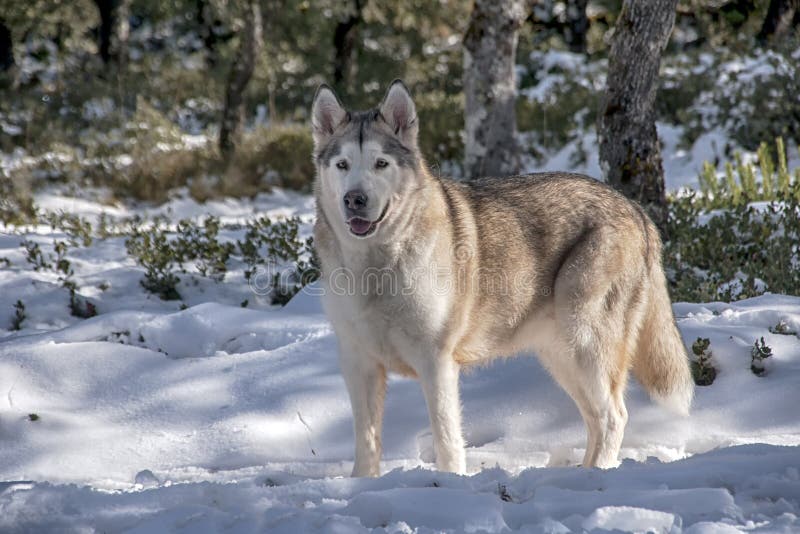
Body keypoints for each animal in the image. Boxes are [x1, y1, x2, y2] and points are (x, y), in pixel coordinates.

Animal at [310, 78, 692, 478]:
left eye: (380, 163)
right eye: (342, 165)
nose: (355, 199)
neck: (375, 268)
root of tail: (637, 210)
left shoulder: (437, 362)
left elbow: (447, 439)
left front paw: (449, 482)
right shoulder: (358, 362)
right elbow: (367, 441)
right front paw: (361, 484)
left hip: (586, 342)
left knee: (613, 416)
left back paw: (595, 475)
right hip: (560, 356)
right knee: (596, 419)